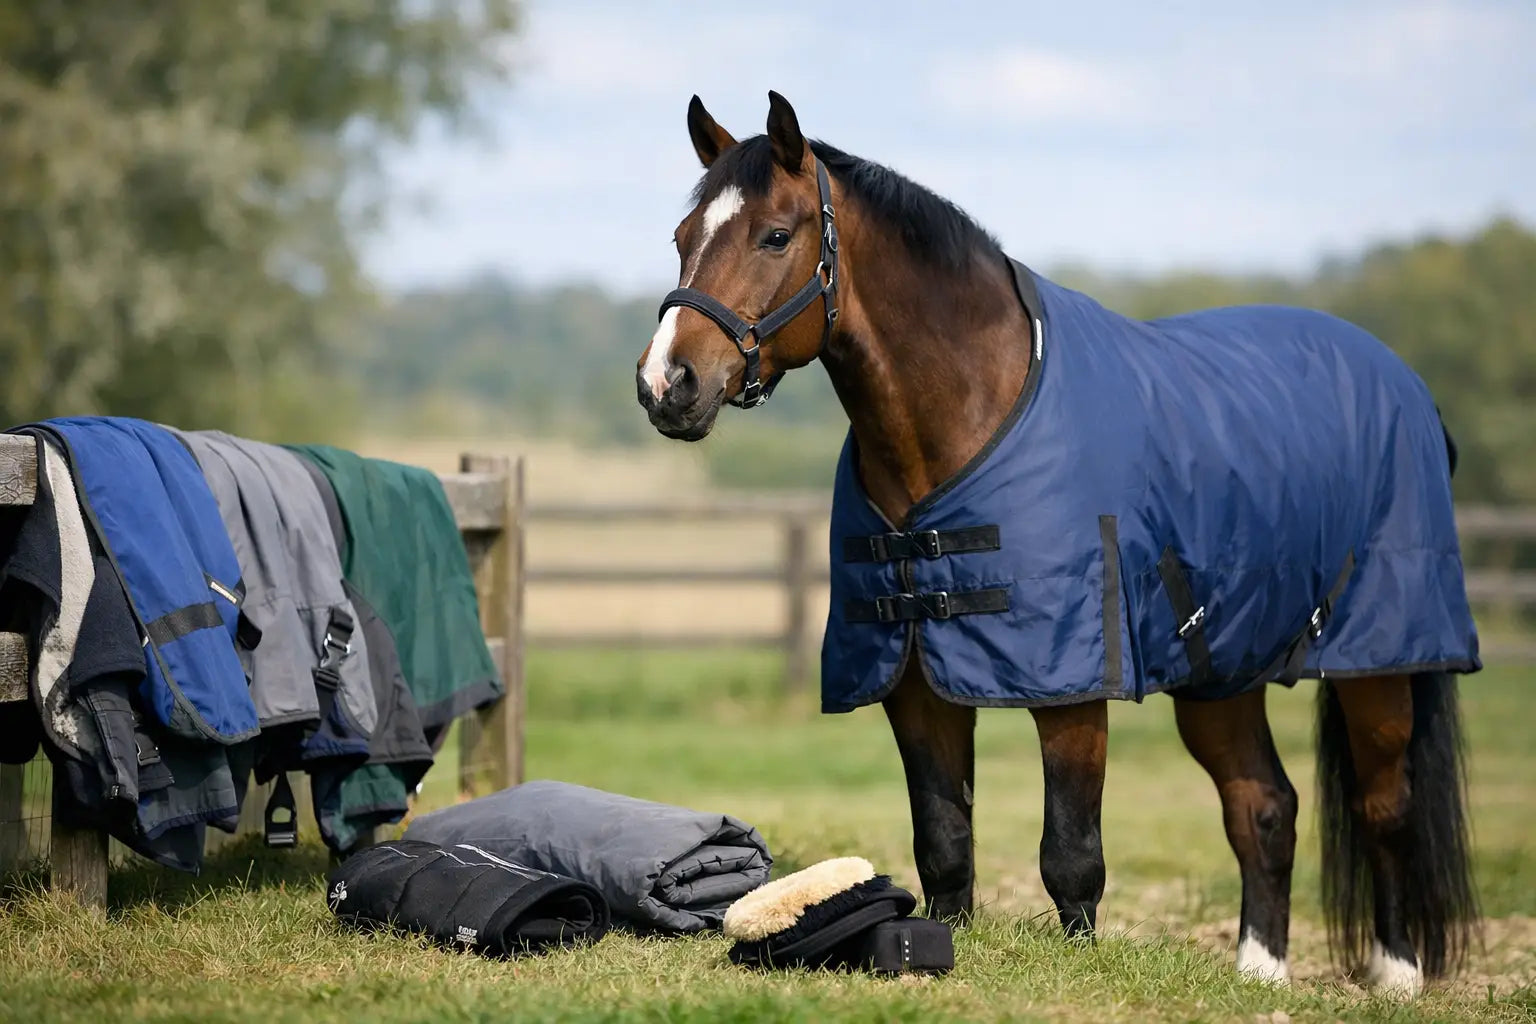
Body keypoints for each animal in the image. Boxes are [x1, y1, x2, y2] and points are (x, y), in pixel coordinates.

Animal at [634, 92, 1480, 997]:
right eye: (683, 237)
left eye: (775, 236)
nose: (665, 384)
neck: (970, 413)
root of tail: (1404, 383)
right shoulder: (914, 680)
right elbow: (944, 841)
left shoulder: (1071, 685)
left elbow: (1072, 854)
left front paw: (1078, 964)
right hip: (1221, 671)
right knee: (1263, 806)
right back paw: (1260, 973)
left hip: (1378, 662)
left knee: (1383, 805)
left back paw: (1397, 974)